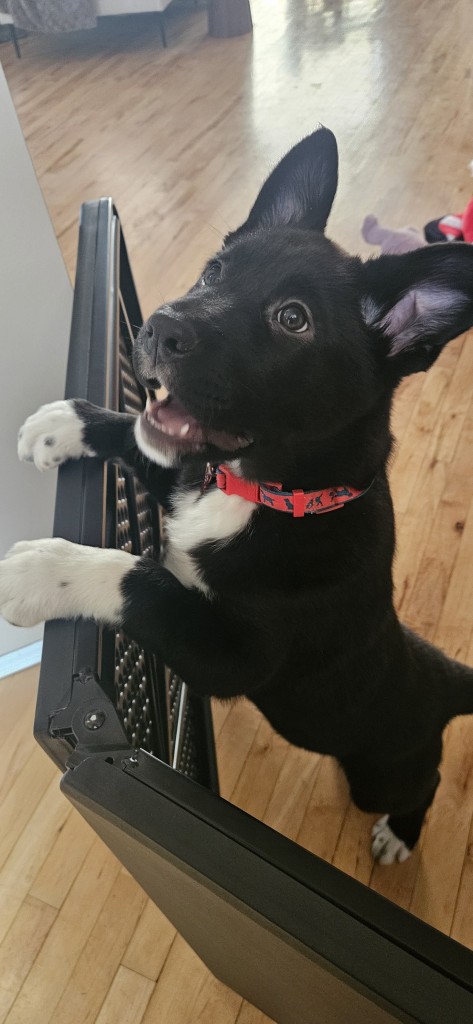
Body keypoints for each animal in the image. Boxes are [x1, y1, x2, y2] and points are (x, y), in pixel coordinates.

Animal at [2, 127, 473, 865]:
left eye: (293, 319)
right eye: (215, 271)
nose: (158, 327)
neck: (262, 493)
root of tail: (444, 678)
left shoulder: (231, 660)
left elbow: (141, 580)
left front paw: (46, 569)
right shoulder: (183, 471)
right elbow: (138, 438)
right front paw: (64, 425)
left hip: (385, 767)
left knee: (422, 783)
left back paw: (401, 833)